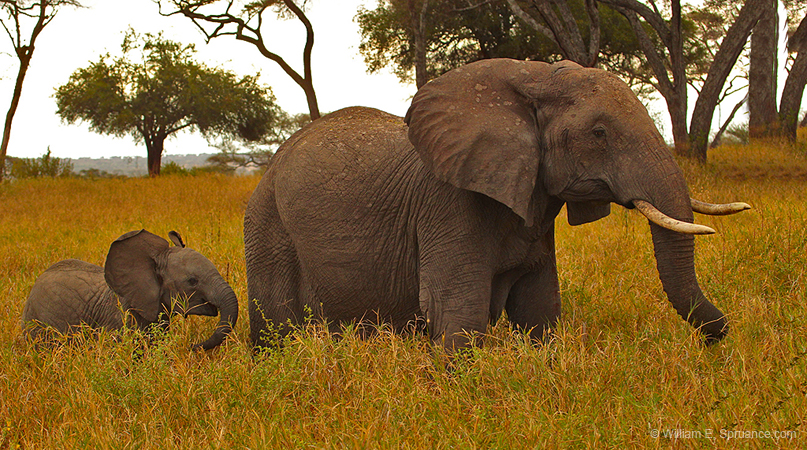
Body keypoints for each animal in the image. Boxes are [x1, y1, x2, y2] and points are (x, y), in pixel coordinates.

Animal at [243, 58, 749, 352]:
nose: (717, 343)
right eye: (600, 133)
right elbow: (458, 311)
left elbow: (538, 306)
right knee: (275, 325)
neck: (532, 78)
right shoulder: (448, 206)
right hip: (267, 224)